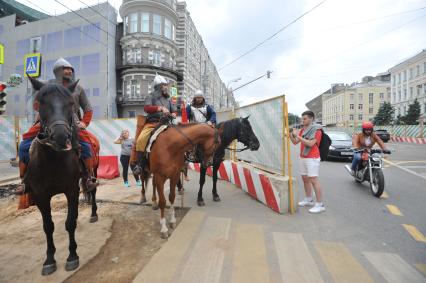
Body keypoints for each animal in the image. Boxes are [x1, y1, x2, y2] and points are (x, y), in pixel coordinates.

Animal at [25, 76, 91, 276]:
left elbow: (70, 223)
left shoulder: (71, 190)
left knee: (92, 191)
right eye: (41, 103)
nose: (60, 136)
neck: (53, 159)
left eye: (70, 103)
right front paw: (49, 260)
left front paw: (72, 256)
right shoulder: (40, 195)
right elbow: (48, 226)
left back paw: (94, 214)